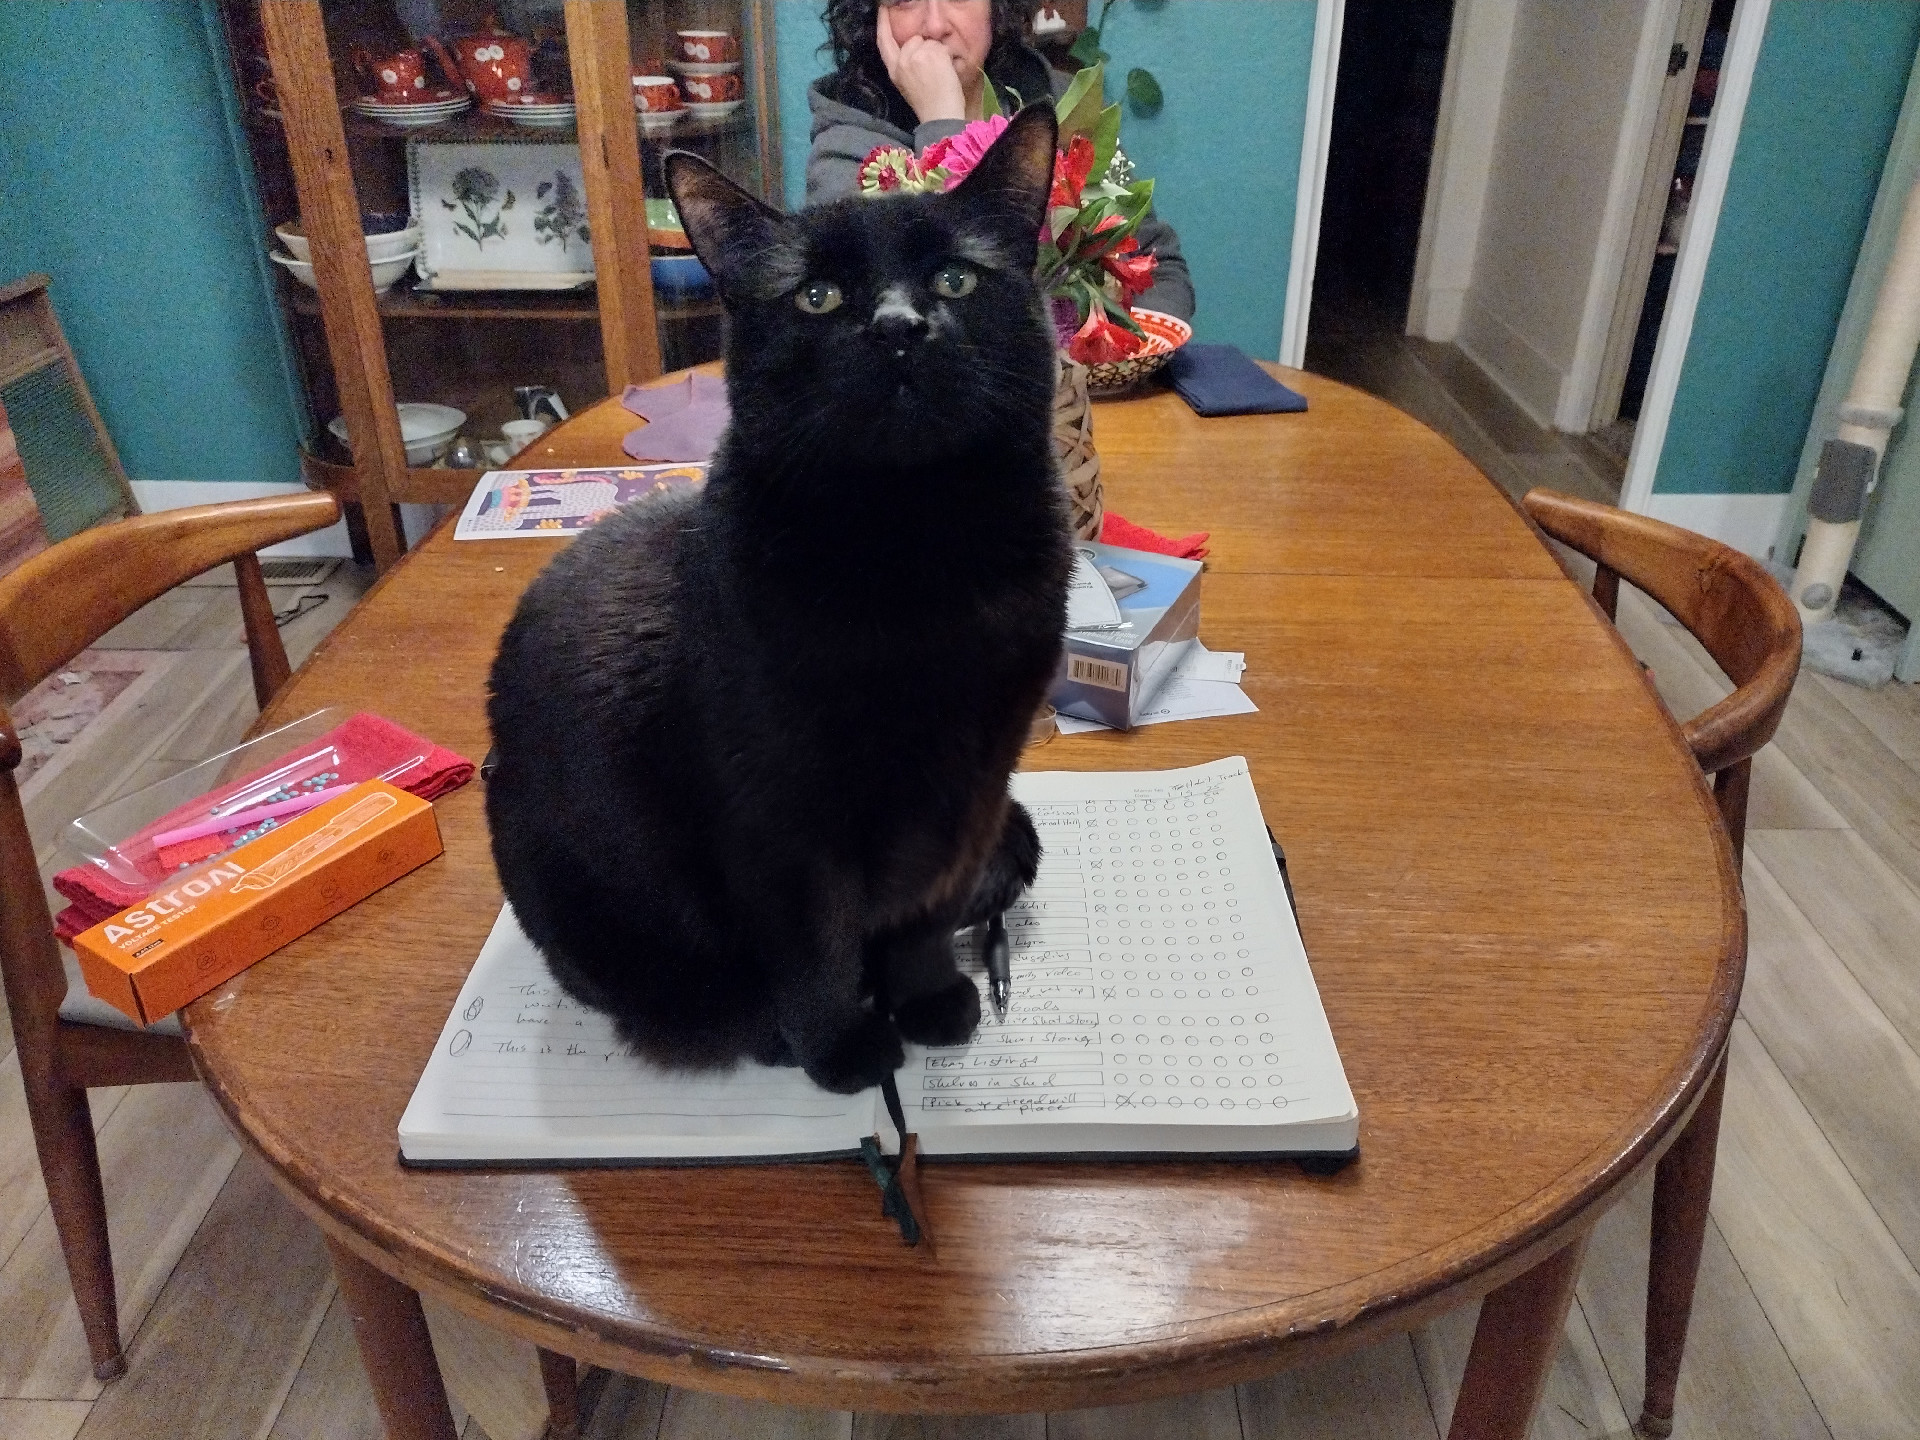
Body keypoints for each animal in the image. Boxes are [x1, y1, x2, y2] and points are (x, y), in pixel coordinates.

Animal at [487, 104, 1075, 1090]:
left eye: (954, 278)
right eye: (818, 298)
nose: (898, 326)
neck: (915, 550)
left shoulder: (971, 787)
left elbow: (923, 917)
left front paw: (928, 1002)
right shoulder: (779, 817)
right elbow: (816, 950)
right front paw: (844, 1051)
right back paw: (765, 1031)